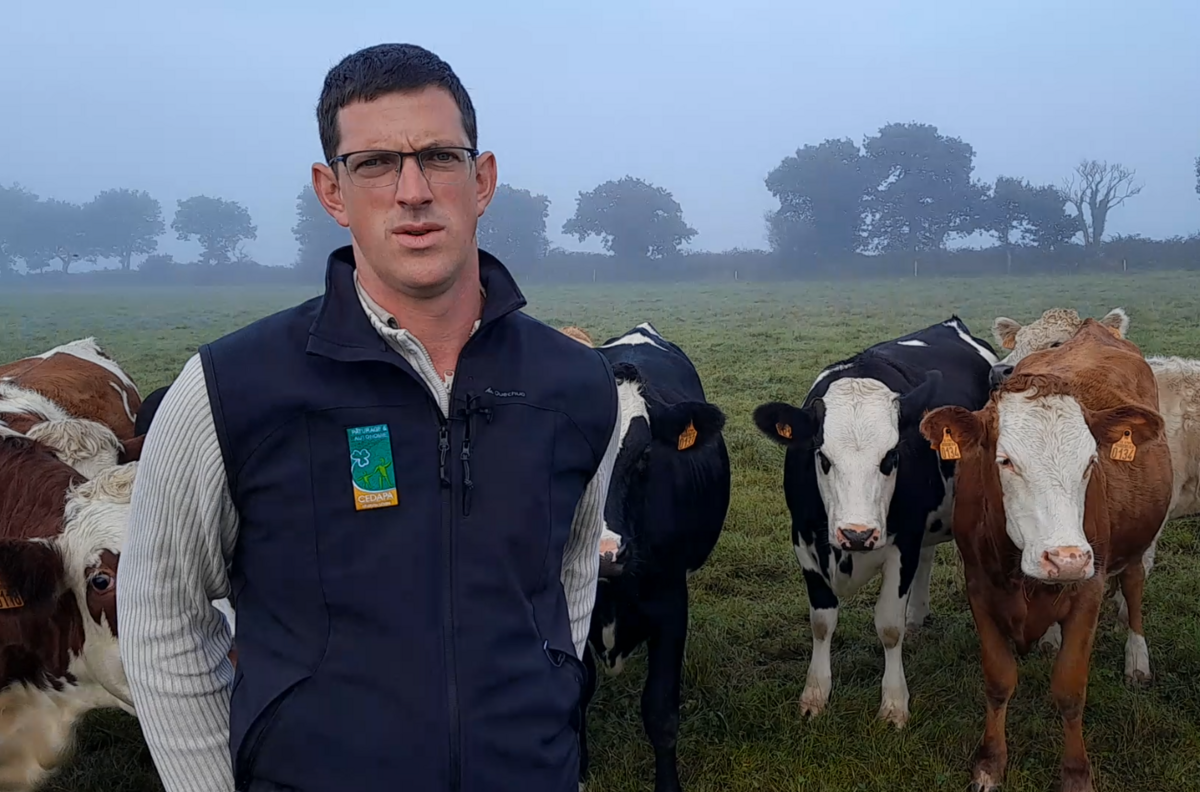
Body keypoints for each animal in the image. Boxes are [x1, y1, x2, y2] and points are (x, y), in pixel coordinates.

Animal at [753, 314, 998, 729]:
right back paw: (918, 616)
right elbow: (822, 620)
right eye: (822, 457)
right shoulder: (802, 539)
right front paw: (815, 695)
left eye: (891, 456)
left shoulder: (903, 541)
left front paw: (894, 704)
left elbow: (888, 625)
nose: (857, 533)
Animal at [916, 316, 1171, 792]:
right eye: (1004, 461)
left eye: (1091, 461)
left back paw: (1137, 659)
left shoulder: (1089, 589)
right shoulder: (979, 587)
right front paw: (990, 762)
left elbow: (1070, 690)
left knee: (1134, 585)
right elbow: (999, 680)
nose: (1066, 558)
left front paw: (1076, 773)